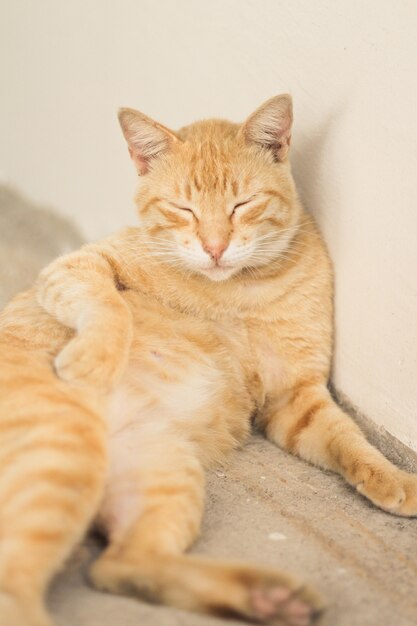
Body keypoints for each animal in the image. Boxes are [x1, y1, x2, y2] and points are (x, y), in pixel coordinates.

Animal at [0, 94, 416, 624]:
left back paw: (270, 597)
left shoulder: (295, 398)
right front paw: (93, 359)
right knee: (17, 589)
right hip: (59, 454)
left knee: (121, 566)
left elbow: (351, 442)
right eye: (184, 210)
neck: (239, 291)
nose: (215, 248)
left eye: (243, 204)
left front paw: (392, 479)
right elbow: (107, 302)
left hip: (160, 470)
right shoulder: (76, 264)